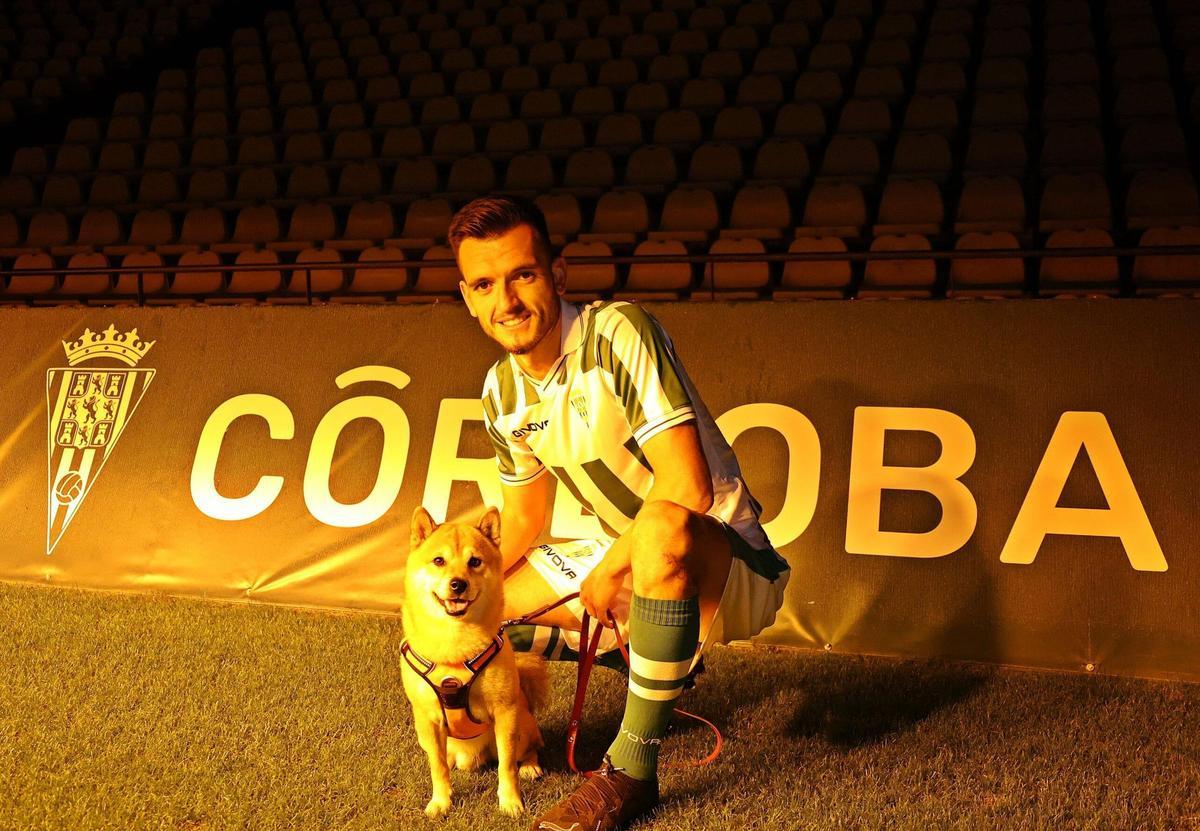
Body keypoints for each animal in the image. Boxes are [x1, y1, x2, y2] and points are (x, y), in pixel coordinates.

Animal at [405, 506, 549, 816]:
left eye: (475, 562)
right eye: (439, 560)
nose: (458, 584)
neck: (454, 646)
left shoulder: (505, 714)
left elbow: (507, 767)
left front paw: (510, 801)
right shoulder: (428, 720)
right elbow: (437, 768)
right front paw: (441, 801)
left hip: (521, 725)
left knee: (529, 748)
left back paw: (530, 766)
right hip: (426, 736)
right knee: (445, 760)